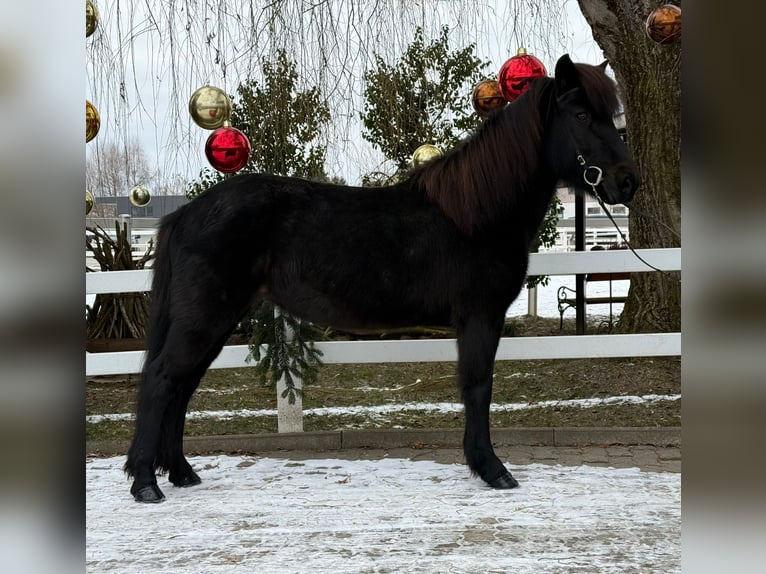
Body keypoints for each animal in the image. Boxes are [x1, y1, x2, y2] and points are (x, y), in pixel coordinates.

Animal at [125, 54, 639, 502]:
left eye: (611, 116)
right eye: (581, 114)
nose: (627, 181)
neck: (475, 213)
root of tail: (185, 214)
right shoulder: (480, 317)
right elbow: (478, 387)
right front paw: (492, 470)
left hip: (215, 320)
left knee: (181, 386)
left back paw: (181, 473)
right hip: (206, 317)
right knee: (162, 380)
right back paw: (146, 484)